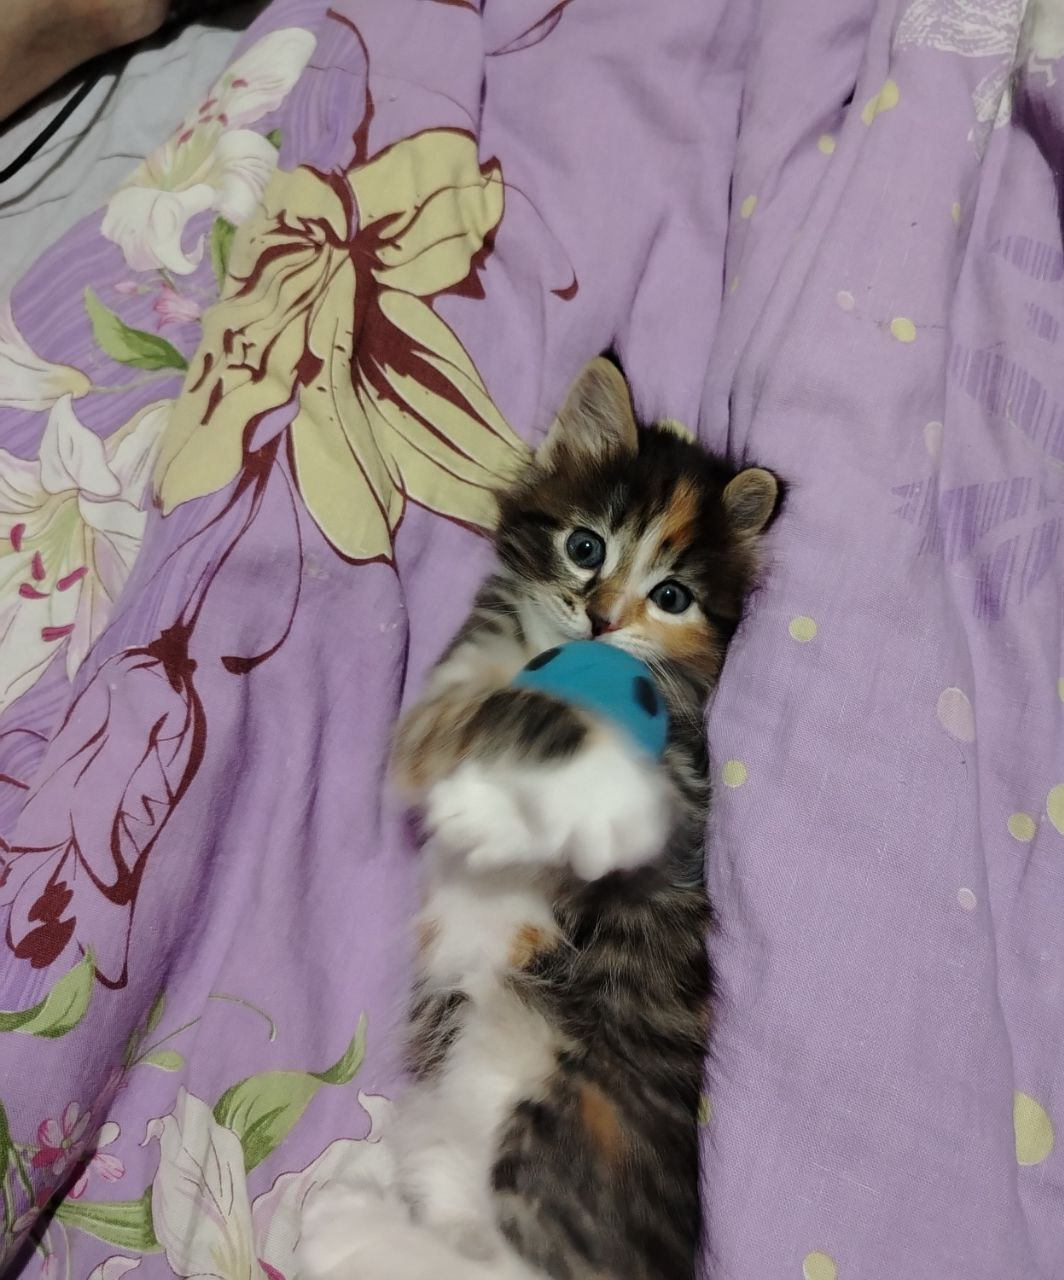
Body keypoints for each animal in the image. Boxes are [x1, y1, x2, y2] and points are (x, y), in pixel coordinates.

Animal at [298, 356, 782, 1280]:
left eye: (671, 596)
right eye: (585, 547)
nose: (602, 618)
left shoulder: (687, 807)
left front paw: (554, 807)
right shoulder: (439, 707)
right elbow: (513, 706)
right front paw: (569, 790)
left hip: (563, 1105)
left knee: (521, 1269)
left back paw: (339, 1221)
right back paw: (347, 1209)